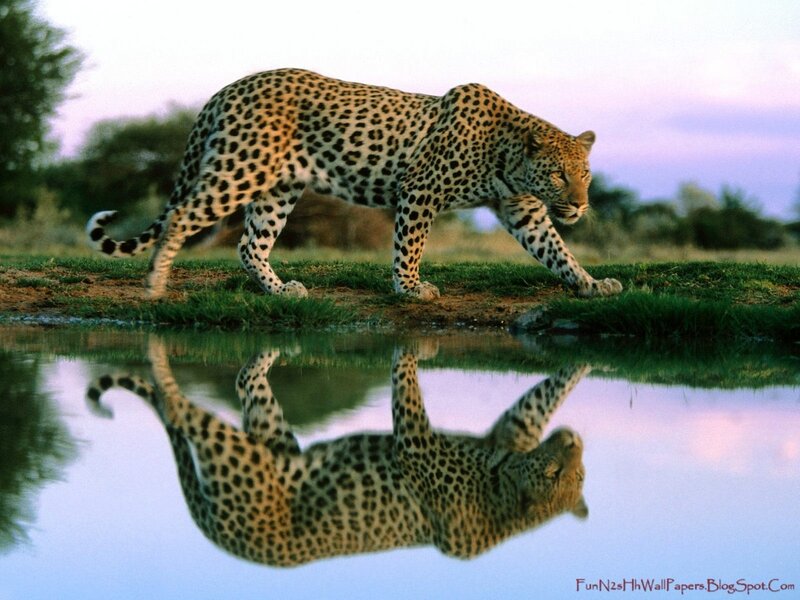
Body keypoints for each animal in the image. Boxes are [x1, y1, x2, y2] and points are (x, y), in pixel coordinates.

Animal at [85, 68, 622, 300]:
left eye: (585, 175)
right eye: (558, 174)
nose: (580, 205)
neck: (507, 155)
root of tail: (228, 88)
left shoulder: (523, 210)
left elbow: (556, 250)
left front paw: (591, 283)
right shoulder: (420, 191)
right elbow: (409, 245)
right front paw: (409, 288)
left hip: (277, 189)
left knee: (249, 244)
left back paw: (280, 291)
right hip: (240, 170)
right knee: (180, 215)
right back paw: (155, 284)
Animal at [87, 337, 589, 566]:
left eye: (579, 475)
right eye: (554, 474)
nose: (575, 441)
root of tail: (225, 541)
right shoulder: (417, 443)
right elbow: (406, 388)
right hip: (240, 455)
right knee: (179, 408)